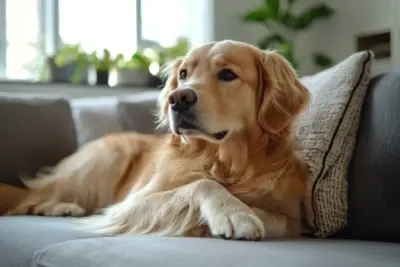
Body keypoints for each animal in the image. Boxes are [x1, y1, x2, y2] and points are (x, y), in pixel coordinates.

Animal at [0, 40, 310, 242]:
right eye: (184, 74)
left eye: (227, 74)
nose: (178, 98)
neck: (225, 162)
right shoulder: (129, 205)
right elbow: (202, 184)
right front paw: (234, 212)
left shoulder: (292, 219)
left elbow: (278, 218)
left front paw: (240, 211)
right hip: (110, 155)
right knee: (32, 198)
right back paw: (63, 207)